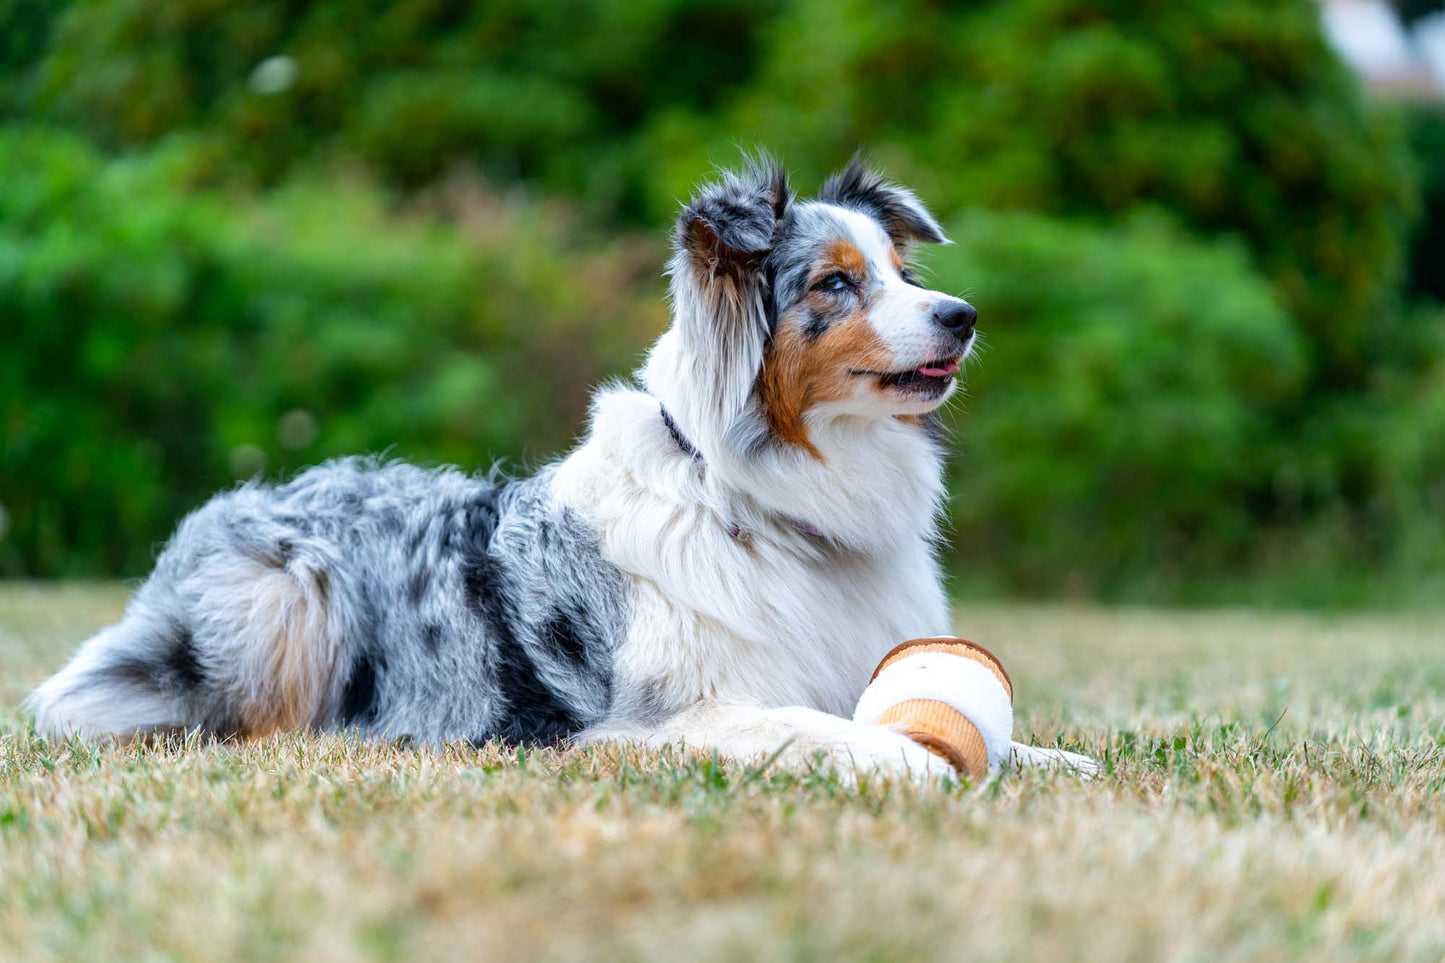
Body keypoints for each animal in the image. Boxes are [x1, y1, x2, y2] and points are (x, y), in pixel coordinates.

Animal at [25, 153, 1092, 775]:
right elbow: (846, 732)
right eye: (835, 283)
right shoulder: (669, 717)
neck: (761, 502)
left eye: (905, 274)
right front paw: (916, 761)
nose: (963, 315)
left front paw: (1059, 763)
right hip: (288, 594)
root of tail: (240, 498)